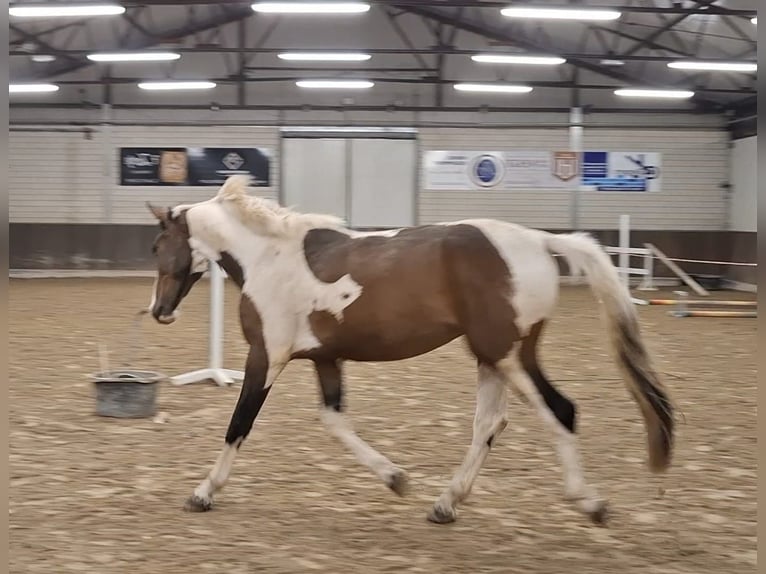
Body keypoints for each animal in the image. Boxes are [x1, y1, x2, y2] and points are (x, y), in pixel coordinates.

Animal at [146, 174, 674, 525]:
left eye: (159, 245)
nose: (159, 311)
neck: (269, 257)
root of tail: (540, 241)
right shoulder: (325, 358)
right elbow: (334, 421)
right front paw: (396, 479)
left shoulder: (266, 357)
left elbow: (238, 425)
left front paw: (202, 493)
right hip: (491, 357)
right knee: (490, 424)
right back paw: (445, 503)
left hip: (508, 353)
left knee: (559, 410)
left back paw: (590, 503)